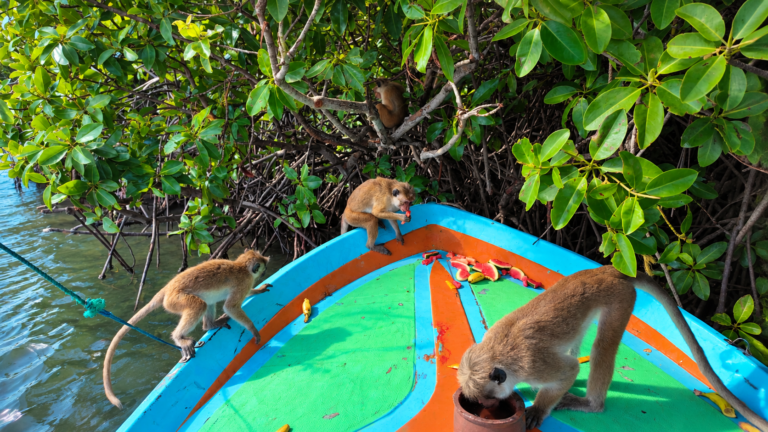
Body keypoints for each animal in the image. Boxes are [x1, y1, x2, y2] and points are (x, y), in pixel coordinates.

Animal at [103, 249, 271, 409]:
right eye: (262, 268)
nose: (264, 272)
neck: (241, 265)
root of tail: (168, 288)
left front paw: (259, 290)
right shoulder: (244, 282)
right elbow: (231, 307)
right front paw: (253, 330)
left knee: (207, 302)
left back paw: (209, 325)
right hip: (175, 300)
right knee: (199, 305)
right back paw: (179, 337)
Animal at [457, 265, 768, 431]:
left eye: (487, 401)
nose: (489, 408)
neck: (498, 352)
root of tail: (608, 270)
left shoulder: (531, 364)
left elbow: (567, 370)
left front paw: (540, 408)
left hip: (620, 297)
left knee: (601, 348)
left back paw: (591, 404)